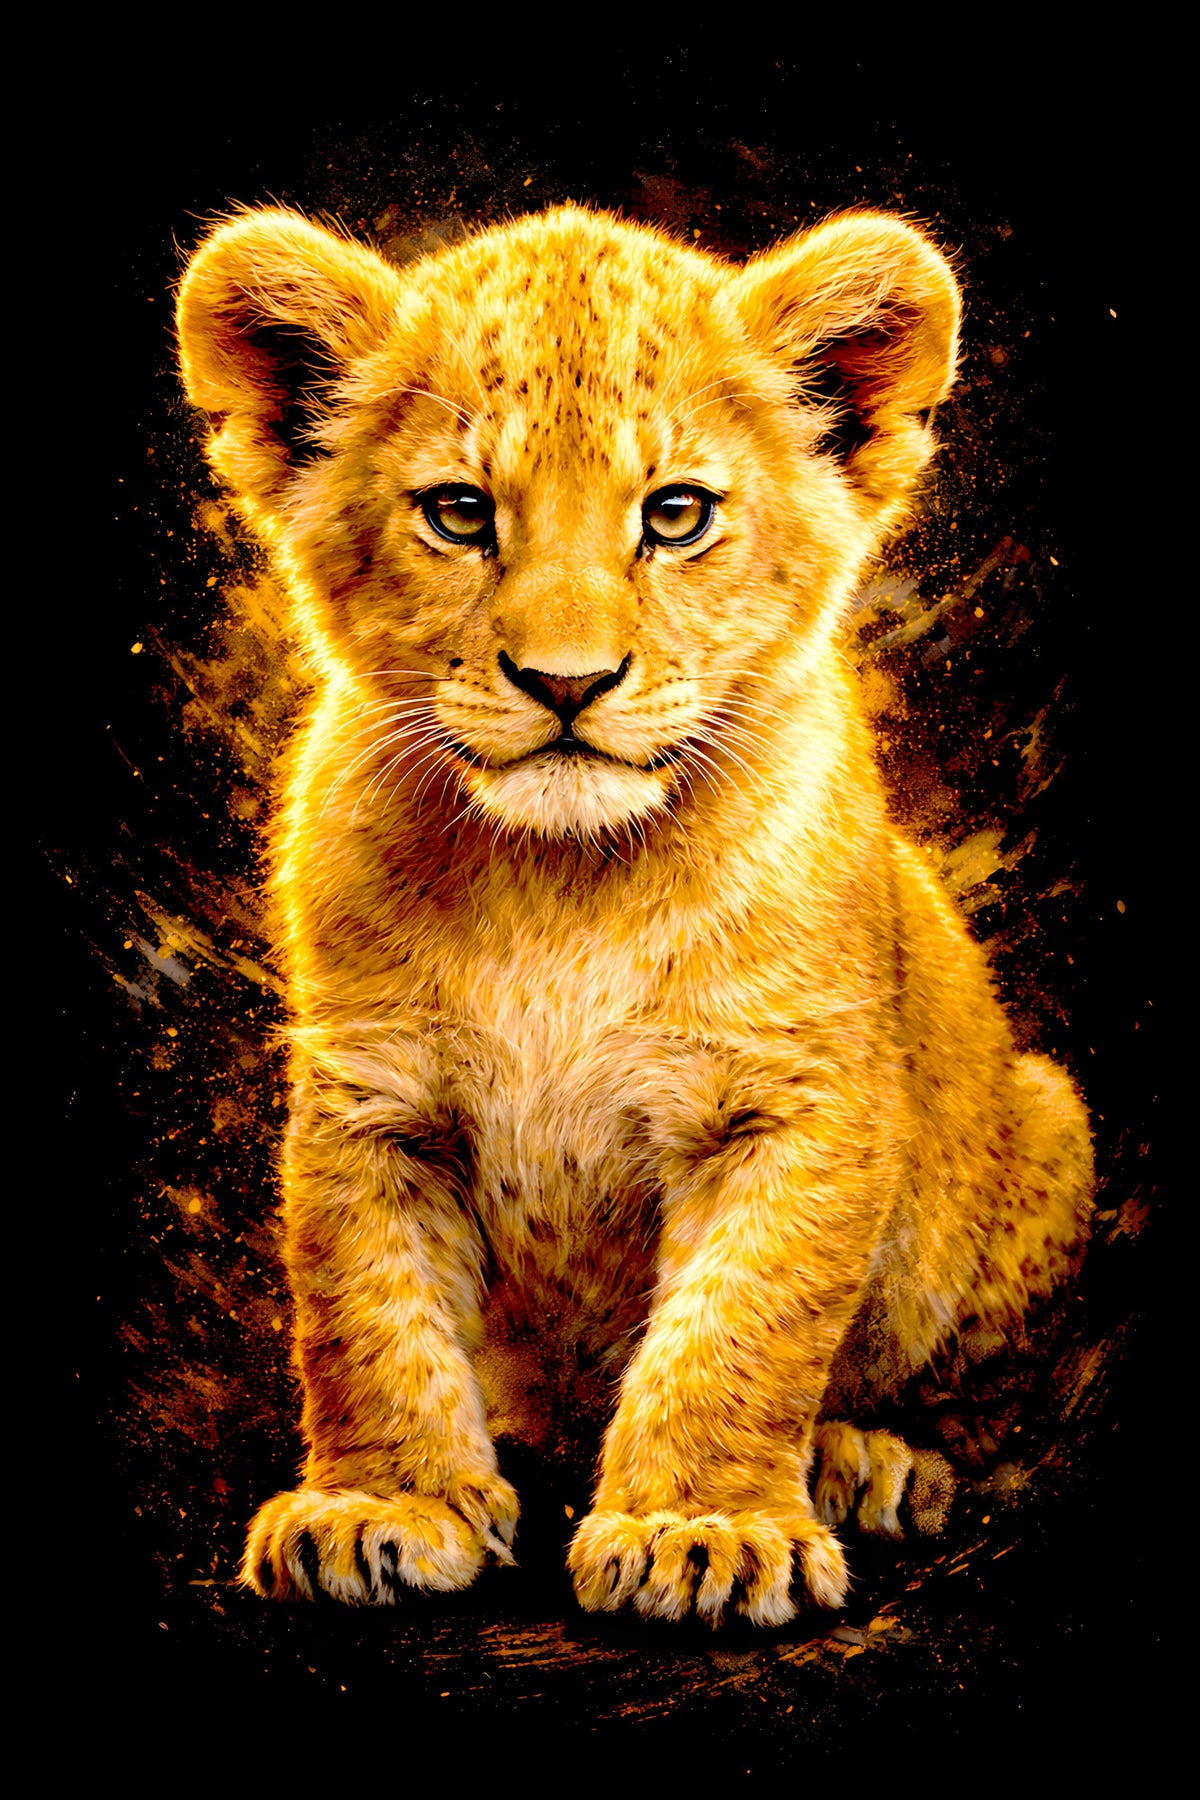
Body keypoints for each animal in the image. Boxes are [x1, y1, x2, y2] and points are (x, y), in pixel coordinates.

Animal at [175, 202, 1093, 1626]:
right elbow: (369, 1312)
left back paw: (870, 1462)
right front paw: (385, 1505)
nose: (567, 682)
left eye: (674, 514)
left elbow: (741, 1324)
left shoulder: (794, 1099)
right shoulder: (370, 1093)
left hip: (1048, 1125)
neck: (564, 886)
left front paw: (703, 1531)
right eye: (459, 513)